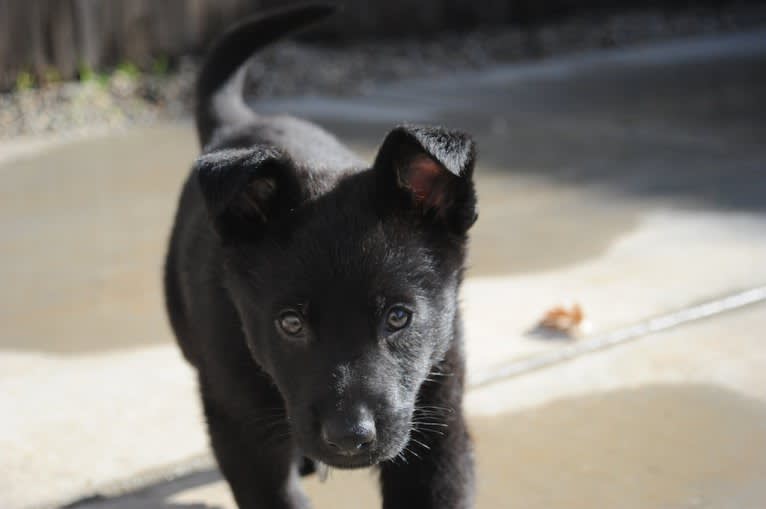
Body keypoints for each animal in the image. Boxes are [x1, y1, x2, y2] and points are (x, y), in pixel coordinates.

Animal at [166, 3, 480, 508]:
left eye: (399, 317)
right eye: (290, 323)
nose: (349, 437)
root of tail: (237, 125)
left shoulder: (438, 420)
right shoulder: (241, 431)